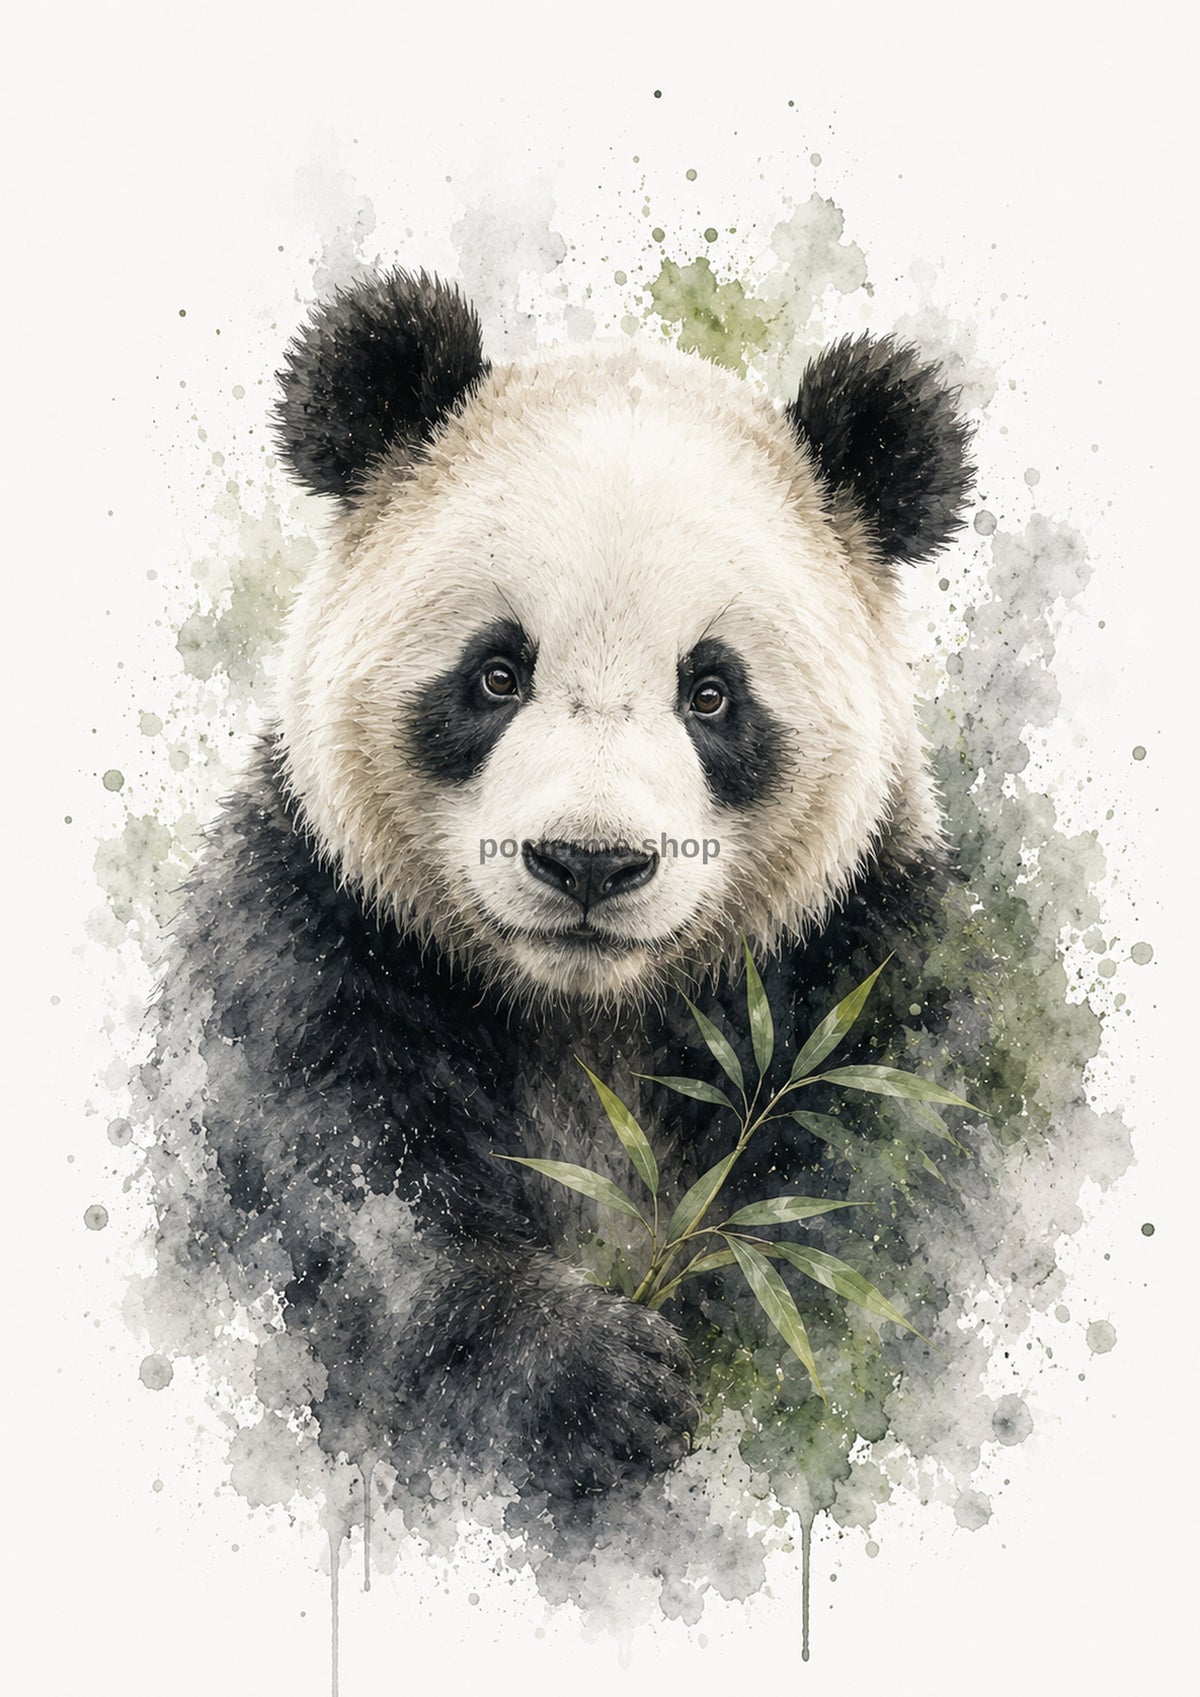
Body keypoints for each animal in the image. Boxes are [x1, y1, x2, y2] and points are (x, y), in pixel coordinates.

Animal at [148, 268, 973, 1507]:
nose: (590, 861)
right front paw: (588, 1380)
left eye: (712, 692)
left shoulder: (861, 962)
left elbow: (865, 1206)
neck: (584, 1014)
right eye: (497, 672)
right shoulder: (313, 927)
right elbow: (330, 1191)